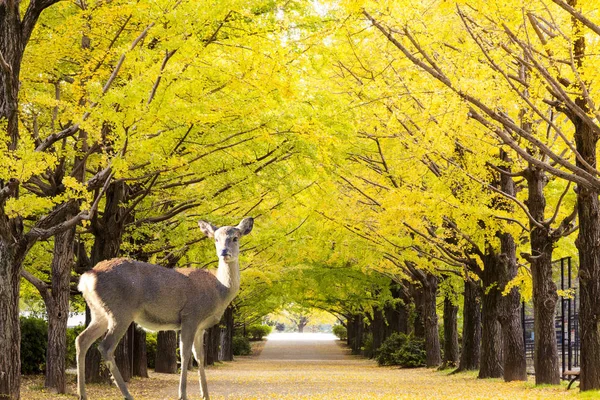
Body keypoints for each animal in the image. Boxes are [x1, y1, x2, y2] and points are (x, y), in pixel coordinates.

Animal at [75, 217, 253, 400]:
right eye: (216, 239)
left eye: (235, 238)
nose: (224, 252)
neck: (219, 290)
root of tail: (87, 278)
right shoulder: (191, 315)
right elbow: (185, 353)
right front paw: (183, 394)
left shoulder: (201, 326)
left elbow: (200, 356)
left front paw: (205, 395)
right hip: (121, 311)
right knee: (106, 347)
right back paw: (127, 394)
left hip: (99, 312)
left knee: (82, 339)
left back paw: (82, 394)